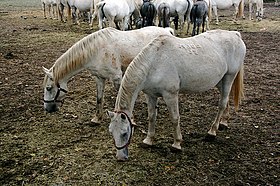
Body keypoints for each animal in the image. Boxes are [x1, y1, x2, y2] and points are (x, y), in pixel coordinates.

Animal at [107, 29, 245, 161]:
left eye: (125, 133)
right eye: (111, 132)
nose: (120, 157)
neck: (155, 63)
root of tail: (235, 34)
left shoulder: (170, 95)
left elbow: (174, 118)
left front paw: (177, 144)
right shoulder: (151, 95)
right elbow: (151, 117)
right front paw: (148, 140)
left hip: (229, 77)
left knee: (222, 103)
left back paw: (212, 132)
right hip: (219, 81)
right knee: (225, 99)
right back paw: (224, 123)